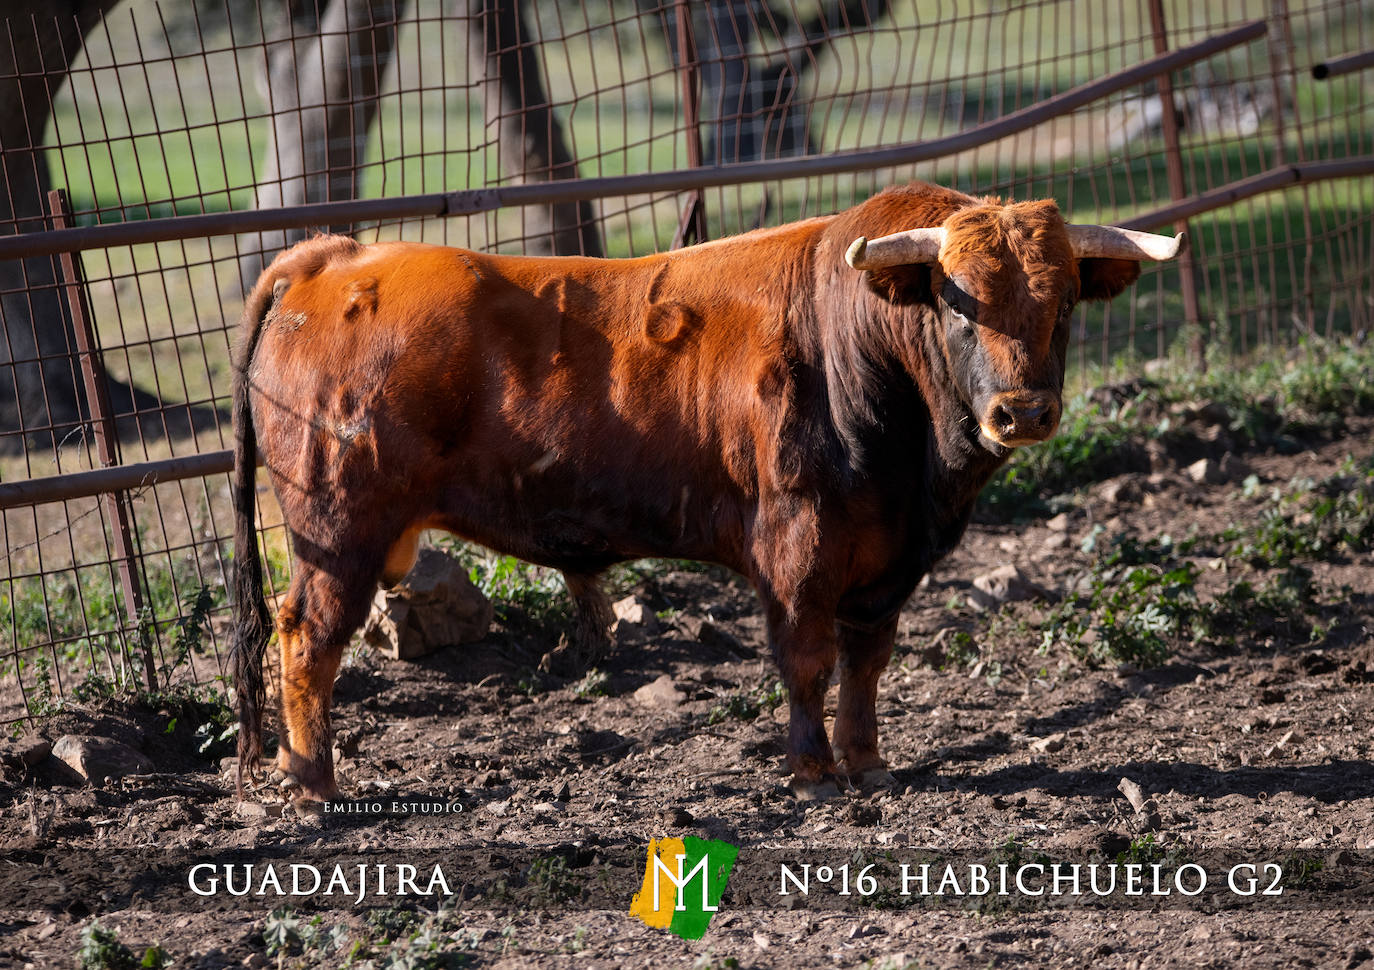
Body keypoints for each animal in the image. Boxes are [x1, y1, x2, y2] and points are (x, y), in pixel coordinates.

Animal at [230, 181, 1187, 802]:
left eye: (1066, 301)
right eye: (959, 304)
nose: (1023, 411)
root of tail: (340, 255)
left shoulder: (884, 564)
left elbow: (866, 664)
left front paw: (866, 760)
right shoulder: (799, 551)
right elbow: (807, 660)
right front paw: (813, 772)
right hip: (339, 531)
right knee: (307, 639)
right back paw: (313, 782)